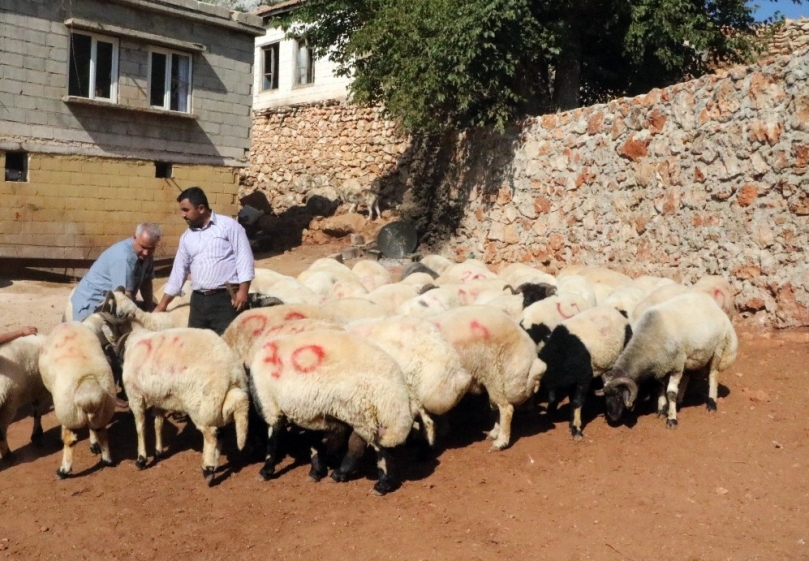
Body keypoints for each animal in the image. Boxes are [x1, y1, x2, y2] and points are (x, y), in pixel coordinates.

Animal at [120, 328, 249, 486]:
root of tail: (232, 374)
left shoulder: (135, 396)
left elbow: (140, 428)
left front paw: (141, 459)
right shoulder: (159, 399)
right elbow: (158, 424)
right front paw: (159, 451)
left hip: (201, 406)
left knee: (211, 435)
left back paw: (208, 470)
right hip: (217, 406)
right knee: (220, 433)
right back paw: (215, 465)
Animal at [249, 328, 414, 494]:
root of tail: (396, 388)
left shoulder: (270, 405)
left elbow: (273, 439)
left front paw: (266, 471)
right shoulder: (310, 411)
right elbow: (313, 443)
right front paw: (316, 471)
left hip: (365, 411)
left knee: (377, 448)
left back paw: (381, 485)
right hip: (366, 415)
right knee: (363, 444)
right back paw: (342, 474)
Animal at [430, 306, 544, 450]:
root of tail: (532, 355)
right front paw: (443, 429)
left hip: (496, 376)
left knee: (506, 408)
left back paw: (500, 441)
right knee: (498, 406)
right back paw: (495, 432)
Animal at [600, 290, 740, 426]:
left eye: (619, 394)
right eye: (606, 395)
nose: (612, 417)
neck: (647, 342)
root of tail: (713, 304)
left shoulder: (676, 366)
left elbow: (671, 393)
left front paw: (672, 419)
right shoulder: (661, 366)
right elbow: (659, 388)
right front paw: (662, 410)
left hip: (718, 348)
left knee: (712, 374)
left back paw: (711, 403)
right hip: (690, 357)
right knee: (687, 375)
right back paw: (680, 400)